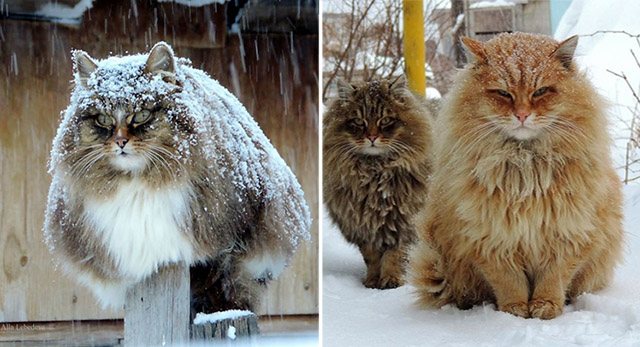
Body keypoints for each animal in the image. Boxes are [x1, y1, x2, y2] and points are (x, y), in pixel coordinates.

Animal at [324, 77, 430, 290]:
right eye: (358, 121)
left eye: (386, 120)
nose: (372, 137)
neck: (374, 172)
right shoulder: (363, 227)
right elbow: (371, 258)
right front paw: (372, 280)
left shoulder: (405, 223)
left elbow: (396, 256)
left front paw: (391, 280)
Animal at [410, 33, 624, 320]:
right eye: (503, 93)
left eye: (540, 91)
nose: (522, 115)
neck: (525, 167)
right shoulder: (491, 241)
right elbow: (509, 283)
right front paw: (515, 311)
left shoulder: (567, 236)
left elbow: (552, 279)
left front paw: (545, 306)